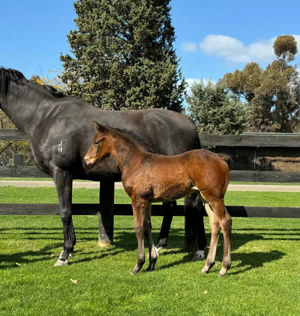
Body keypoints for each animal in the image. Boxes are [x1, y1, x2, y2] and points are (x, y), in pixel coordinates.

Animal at [0, 68, 206, 266]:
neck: (46, 117)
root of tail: (190, 123)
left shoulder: (62, 172)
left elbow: (65, 211)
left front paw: (65, 254)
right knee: (173, 206)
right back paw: (161, 246)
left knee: (195, 206)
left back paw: (199, 251)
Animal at [84, 122, 232, 276]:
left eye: (96, 142)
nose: (86, 161)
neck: (135, 162)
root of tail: (221, 159)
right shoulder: (147, 201)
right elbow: (147, 226)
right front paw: (152, 263)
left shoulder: (138, 199)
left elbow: (138, 227)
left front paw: (138, 265)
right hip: (206, 199)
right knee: (215, 225)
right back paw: (207, 266)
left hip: (215, 198)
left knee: (225, 221)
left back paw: (224, 267)